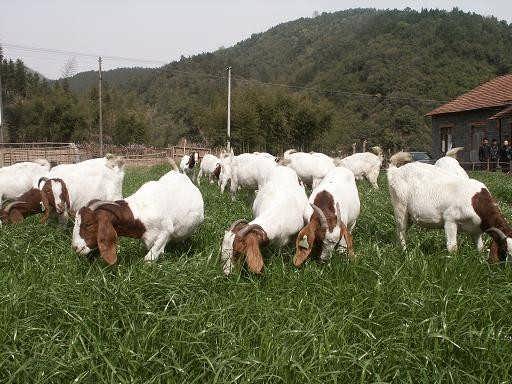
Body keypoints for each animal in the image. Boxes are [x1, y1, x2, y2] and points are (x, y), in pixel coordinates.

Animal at [72, 159, 204, 264]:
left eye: (89, 224)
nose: (75, 247)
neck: (139, 213)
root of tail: (177, 173)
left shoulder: (166, 231)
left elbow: (149, 258)